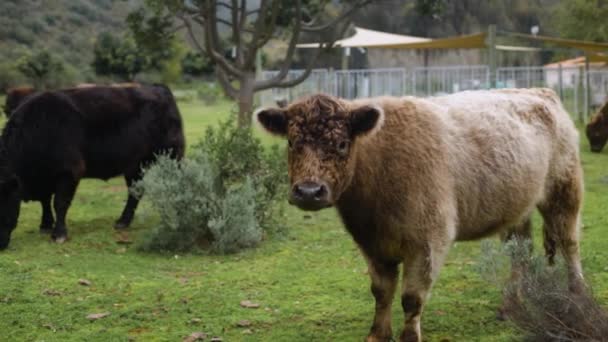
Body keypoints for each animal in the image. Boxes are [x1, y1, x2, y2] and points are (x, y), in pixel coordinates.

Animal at [0, 83, 184, 248]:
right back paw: (123, 221)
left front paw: (59, 234)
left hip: (172, 157)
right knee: (135, 191)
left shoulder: (69, 171)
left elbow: (59, 203)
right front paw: (45, 225)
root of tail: (158, 88)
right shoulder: (44, 177)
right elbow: (45, 201)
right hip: (134, 166)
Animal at [255, 89, 584, 342]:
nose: (309, 191)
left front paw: (409, 336)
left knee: (569, 242)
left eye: (341, 143)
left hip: (564, 190)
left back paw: (577, 293)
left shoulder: (428, 240)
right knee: (521, 251)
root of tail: (540, 92)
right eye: (291, 141)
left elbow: (411, 297)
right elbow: (381, 291)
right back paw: (511, 303)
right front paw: (377, 334)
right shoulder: (371, 244)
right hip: (517, 209)